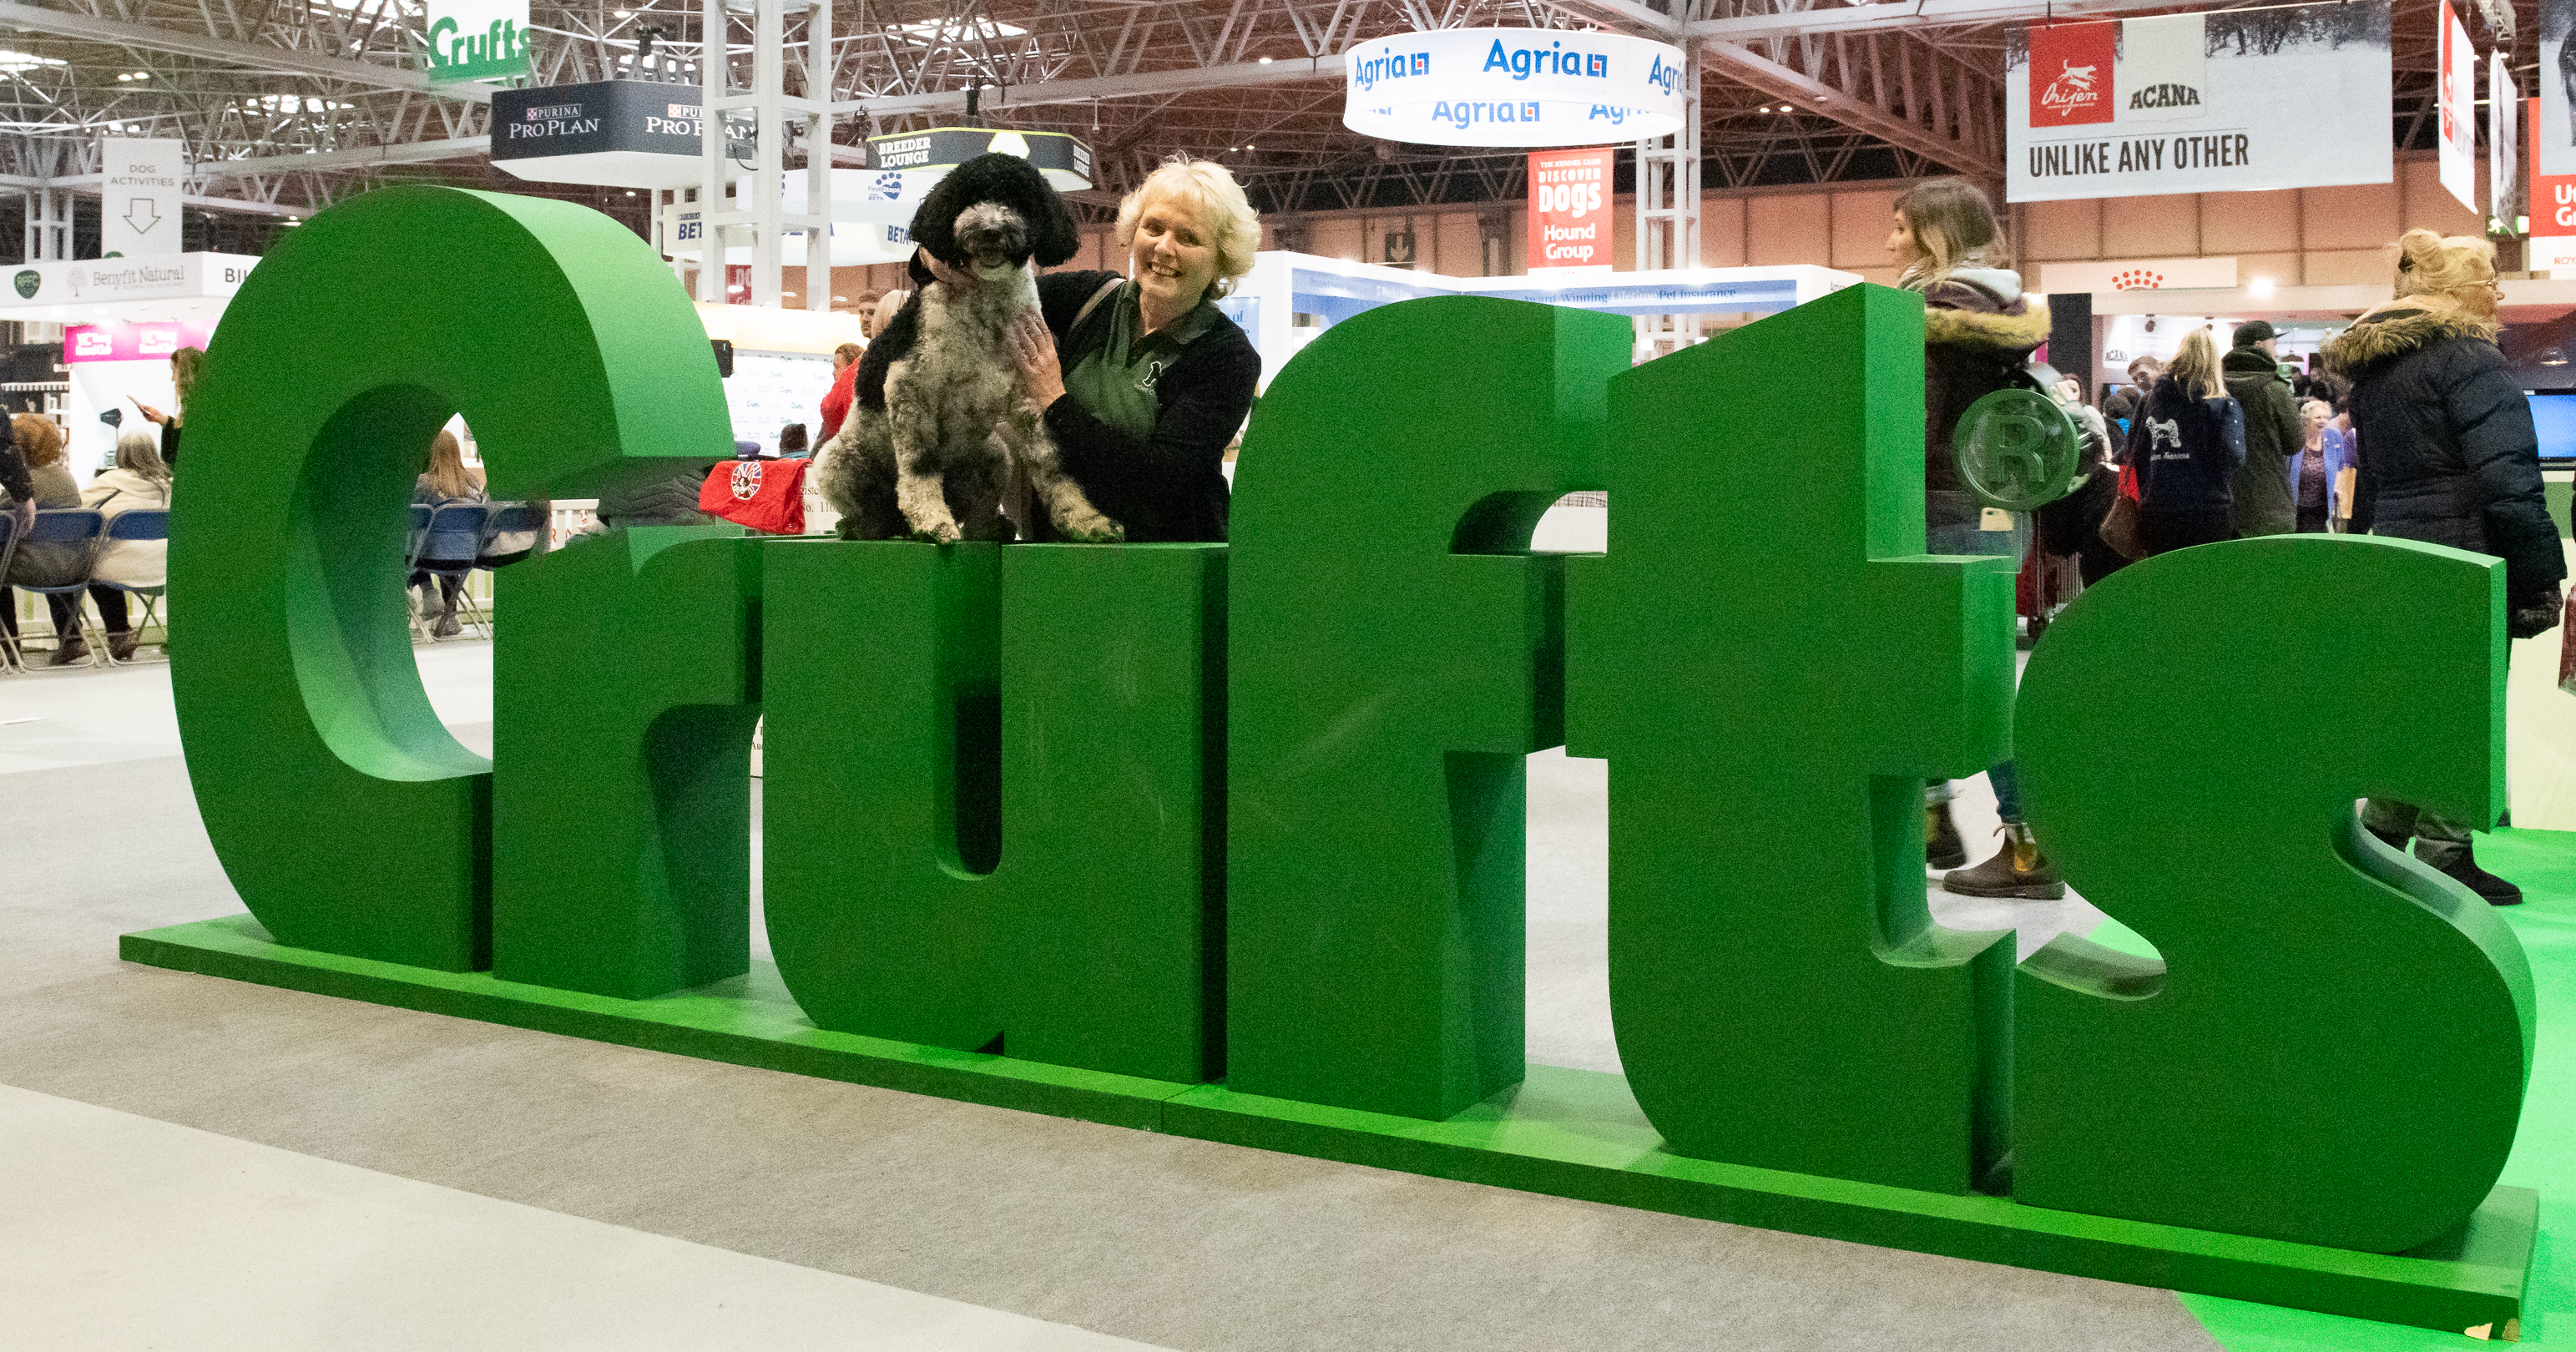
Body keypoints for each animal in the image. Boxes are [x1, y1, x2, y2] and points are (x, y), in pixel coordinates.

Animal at [814, 151, 1118, 543]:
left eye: (1018, 199)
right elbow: (919, 466)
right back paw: (867, 526)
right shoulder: (910, 388)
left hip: (993, 455)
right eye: (968, 197)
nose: (990, 229)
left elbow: (1053, 465)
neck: (986, 310)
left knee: (977, 507)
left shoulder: (1031, 395)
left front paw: (1085, 519)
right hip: (837, 461)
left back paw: (988, 525)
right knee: (872, 505)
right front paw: (932, 521)